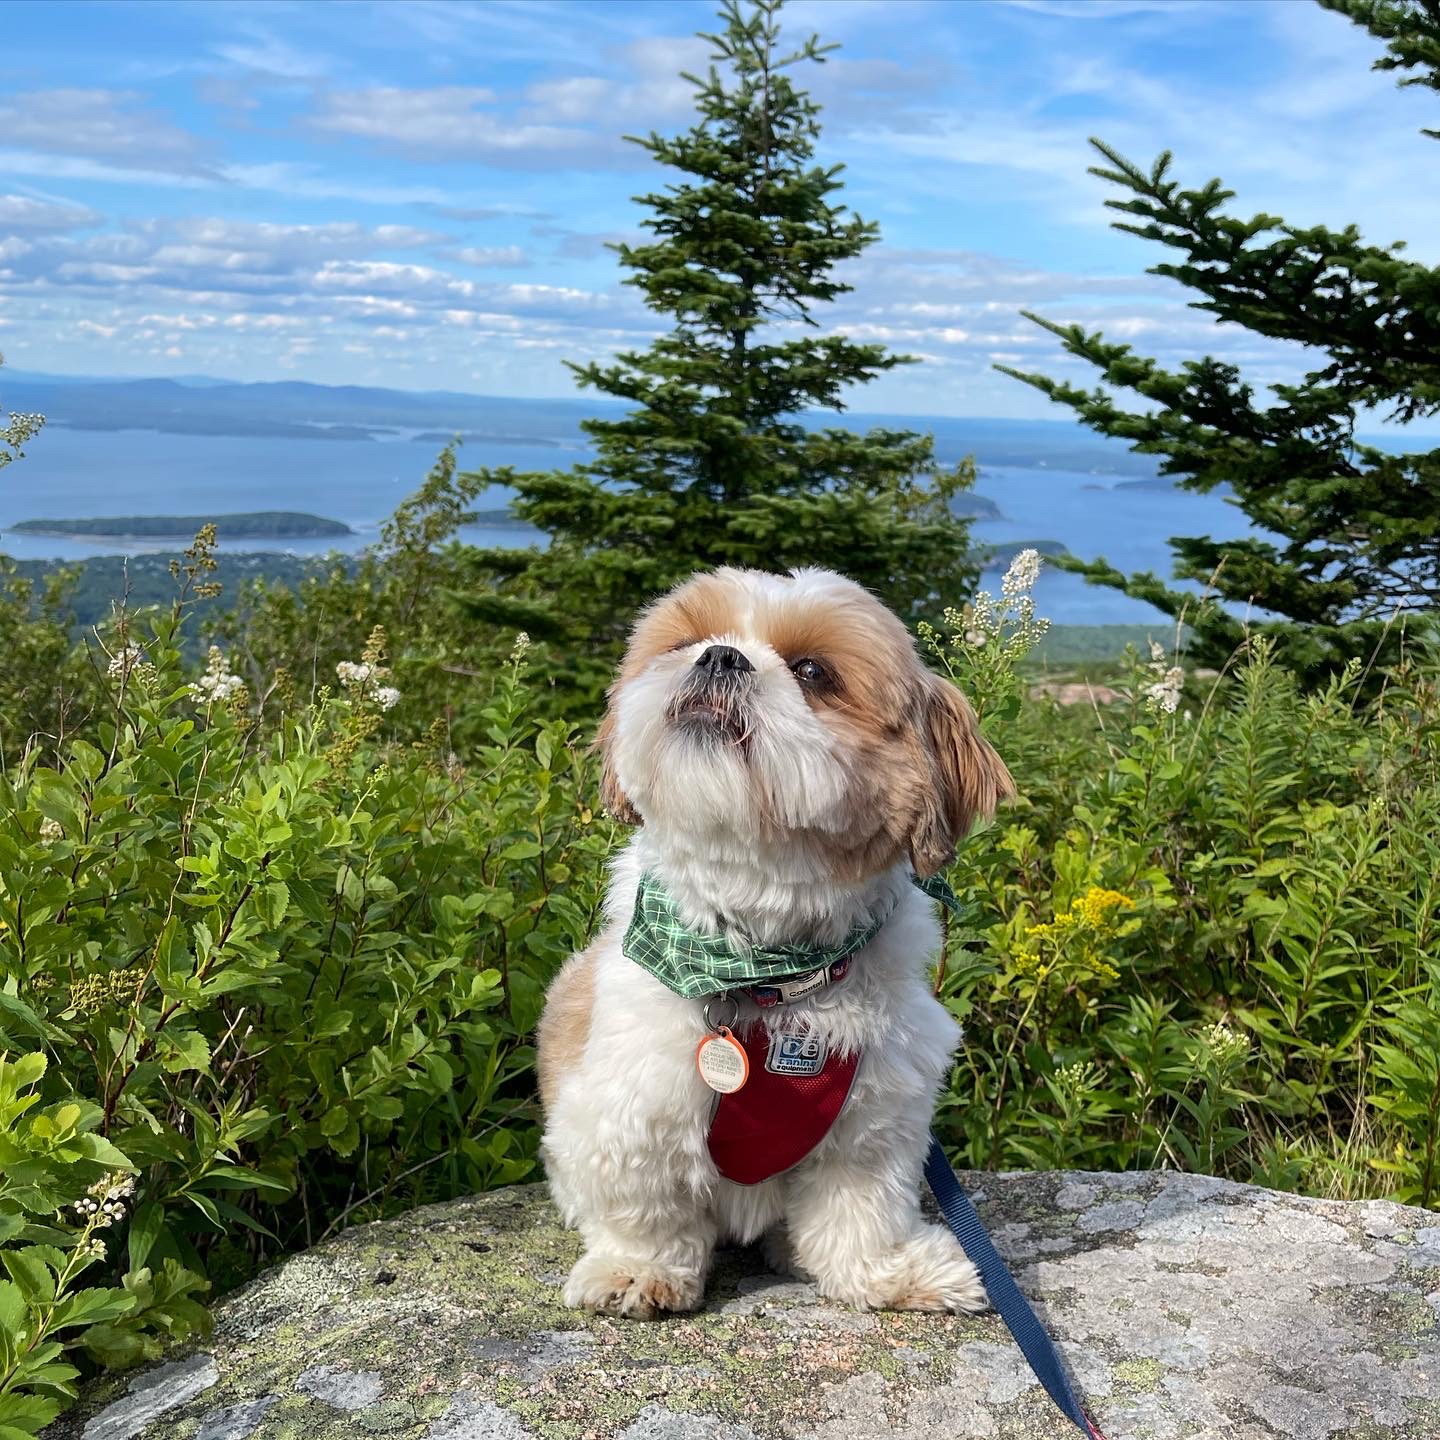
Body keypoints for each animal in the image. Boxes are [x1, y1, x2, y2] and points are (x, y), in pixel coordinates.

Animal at [536, 565, 1014, 1319]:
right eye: (689, 640)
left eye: (813, 671)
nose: (720, 657)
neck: (766, 970)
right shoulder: (629, 1103)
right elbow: (645, 1205)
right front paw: (638, 1270)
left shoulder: (874, 1116)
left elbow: (862, 1208)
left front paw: (889, 1273)